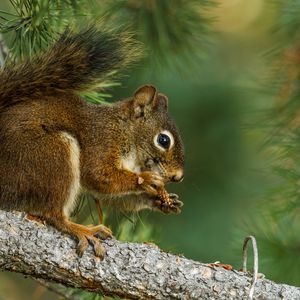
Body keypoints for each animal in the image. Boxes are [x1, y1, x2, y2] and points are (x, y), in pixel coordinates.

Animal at [0, 26, 184, 258]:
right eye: (163, 140)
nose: (178, 176)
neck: (125, 132)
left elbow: (111, 195)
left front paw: (162, 201)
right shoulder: (102, 141)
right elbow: (99, 175)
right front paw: (146, 179)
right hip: (51, 153)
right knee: (52, 213)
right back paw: (82, 230)